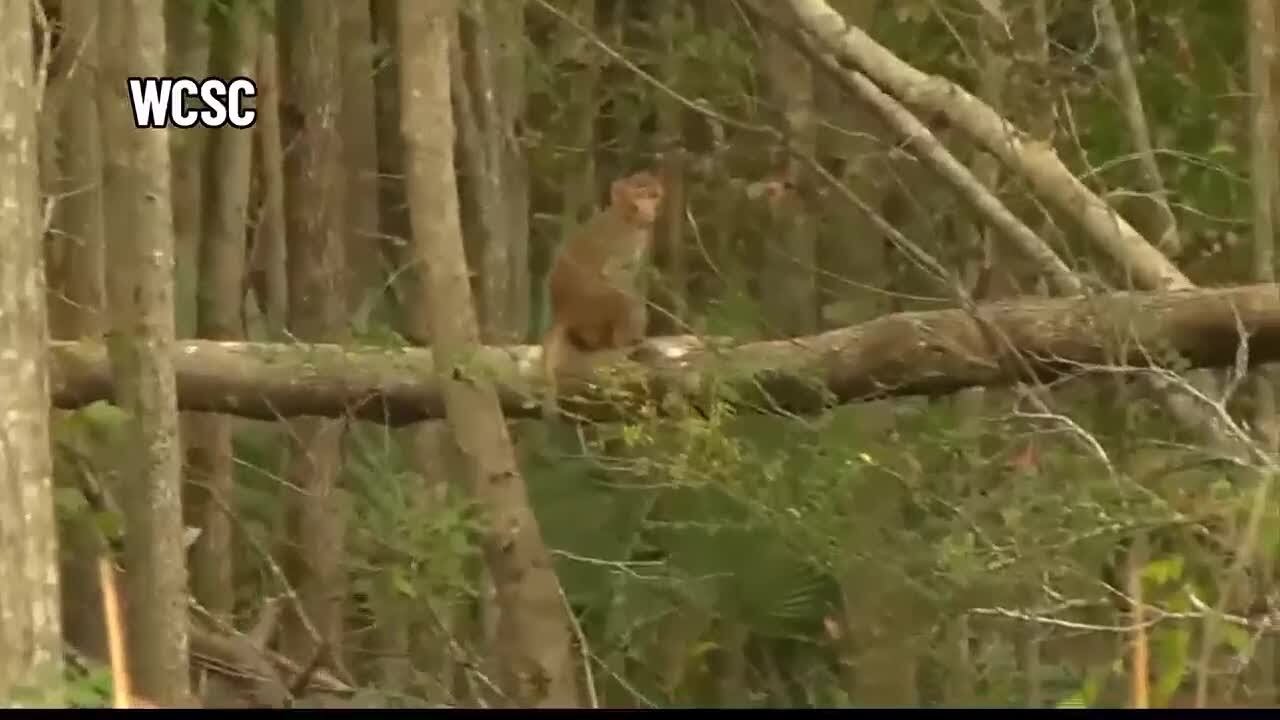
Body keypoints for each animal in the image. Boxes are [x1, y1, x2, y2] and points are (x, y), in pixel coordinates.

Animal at [541, 171, 665, 419]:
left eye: (652, 195)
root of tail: (562, 314)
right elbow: (614, 275)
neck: (624, 215)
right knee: (622, 298)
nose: (648, 209)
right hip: (592, 307)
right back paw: (625, 342)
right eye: (639, 195)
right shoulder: (626, 240)